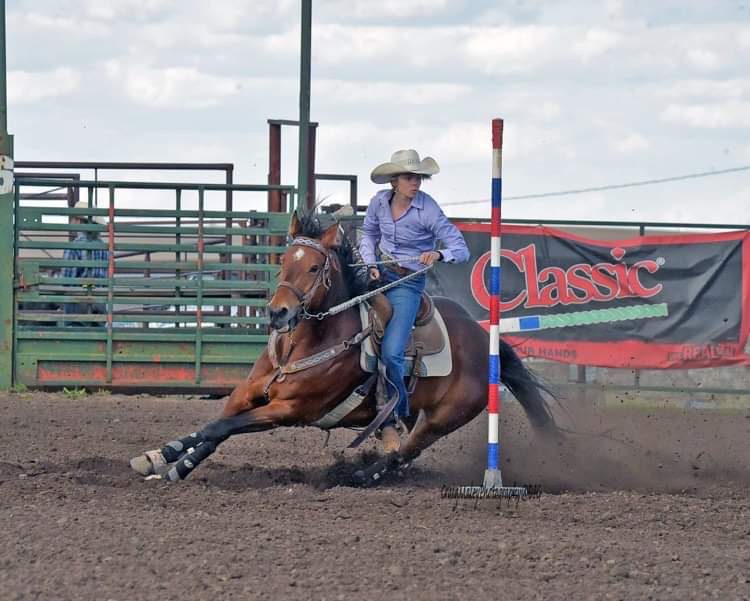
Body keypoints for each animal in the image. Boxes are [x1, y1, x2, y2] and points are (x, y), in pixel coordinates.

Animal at [131, 211, 560, 482]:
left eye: (314, 267)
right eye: (284, 260)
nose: (278, 313)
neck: (300, 348)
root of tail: (485, 340)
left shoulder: (289, 410)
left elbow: (220, 426)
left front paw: (166, 461)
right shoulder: (246, 393)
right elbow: (214, 429)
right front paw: (163, 459)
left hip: (446, 417)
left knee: (407, 451)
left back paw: (360, 475)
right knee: (403, 450)